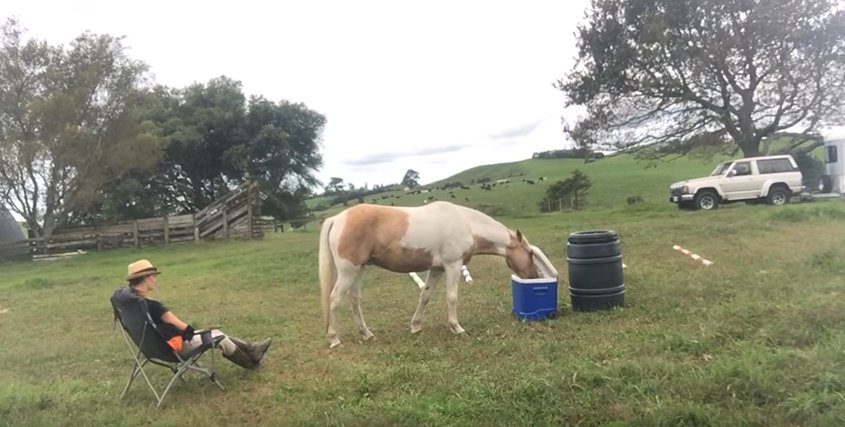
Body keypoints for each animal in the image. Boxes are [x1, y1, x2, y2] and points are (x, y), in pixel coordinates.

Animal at [316, 202, 540, 350]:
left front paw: (415, 326)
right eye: (529, 253)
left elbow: (425, 295)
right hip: (348, 271)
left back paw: (367, 334)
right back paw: (334, 339)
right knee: (334, 299)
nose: (534, 275)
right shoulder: (453, 265)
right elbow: (451, 297)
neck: (465, 223)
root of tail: (338, 219)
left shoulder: (437, 269)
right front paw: (456, 327)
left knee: (354, 298)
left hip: (359, 270)